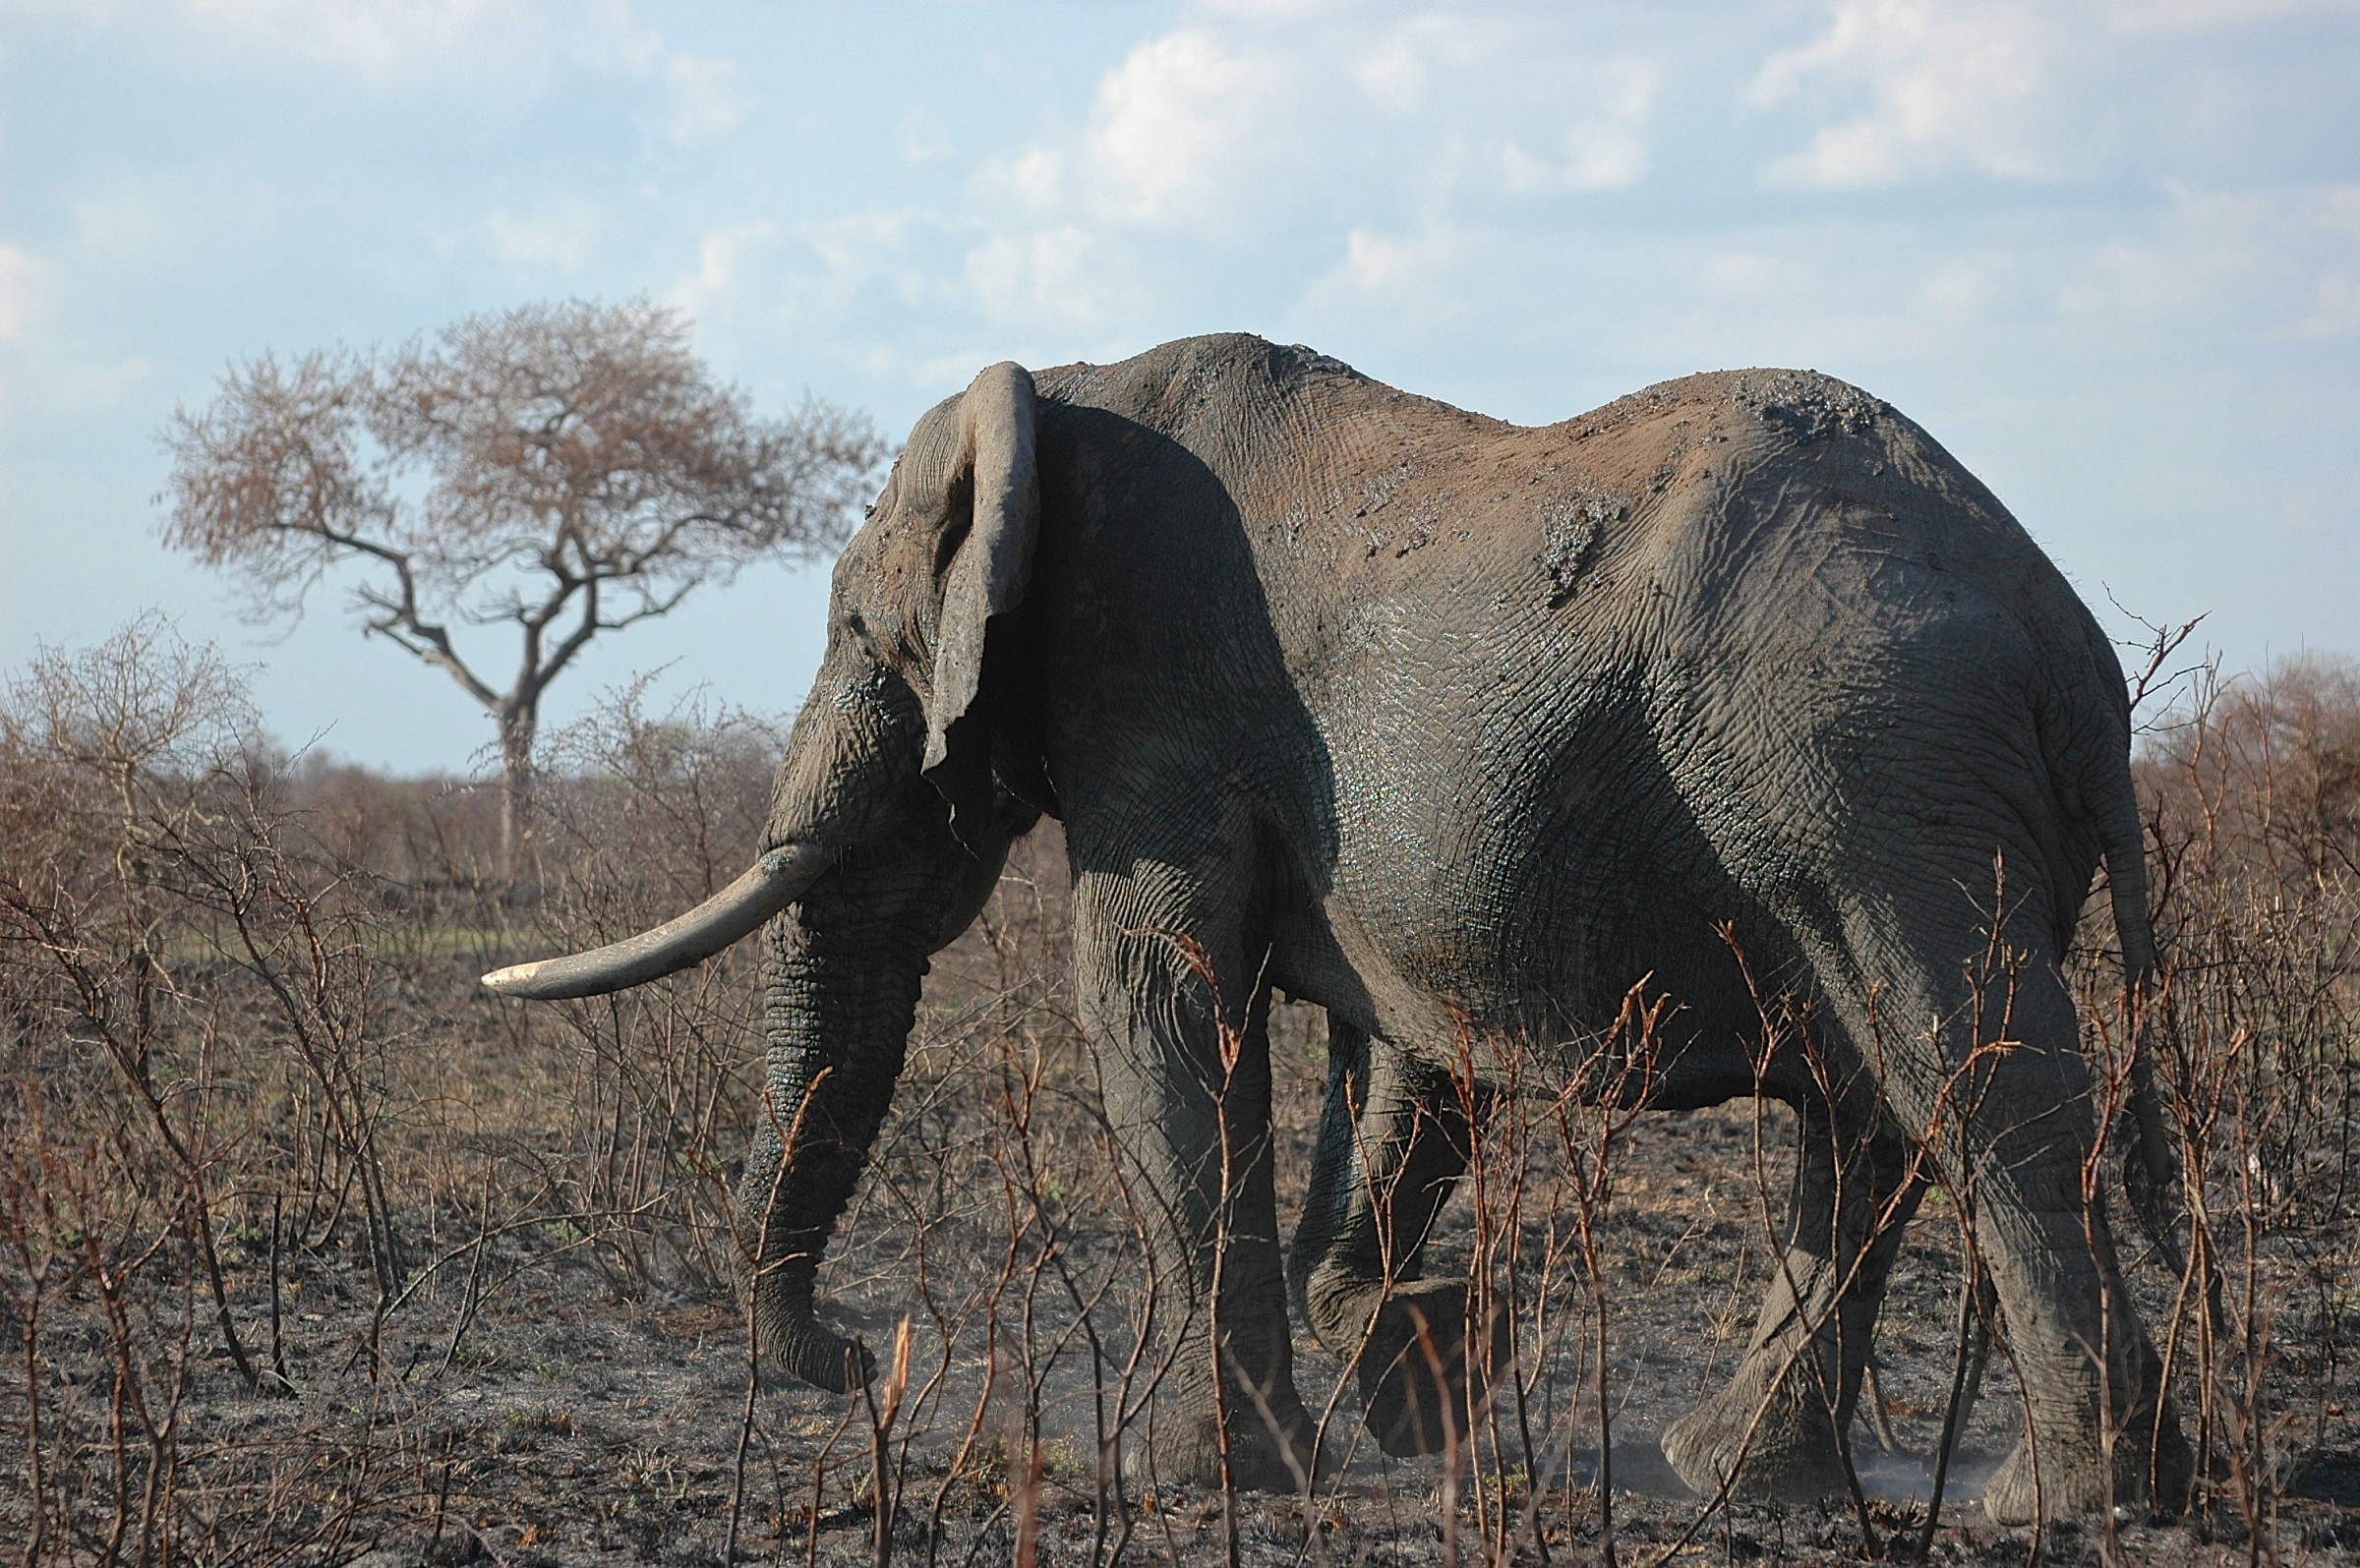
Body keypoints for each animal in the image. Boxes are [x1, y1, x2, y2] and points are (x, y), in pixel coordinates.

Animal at [484, 333, 2189, 1523]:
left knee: (1974, 1073)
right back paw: (1737, 1474)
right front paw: (1402, 1357)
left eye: (861, 630)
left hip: (1872, 772)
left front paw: (1204, 1476)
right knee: (1870, 1106)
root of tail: (2080, 663)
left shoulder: (1161, 698)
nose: (855, 1352)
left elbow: (1157, 1009)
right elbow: (1403, 1063)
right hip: (1874, 793)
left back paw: (2054, 1500)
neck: (1059, 389)